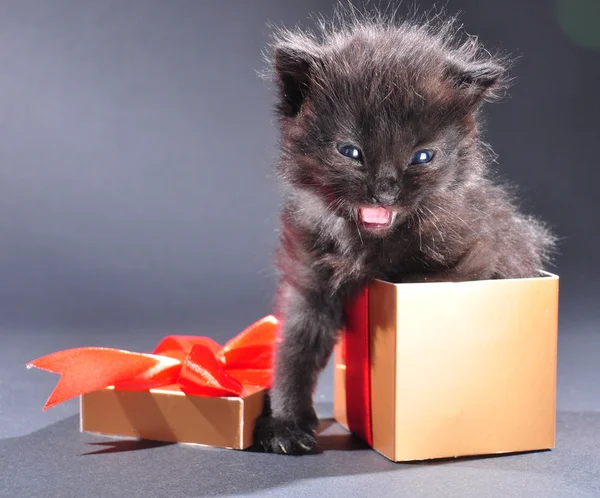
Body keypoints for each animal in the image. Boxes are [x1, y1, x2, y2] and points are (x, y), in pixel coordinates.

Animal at [251, 11, 556, 456]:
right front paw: (287, 424)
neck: (366, 244)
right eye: (351, 152)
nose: (385, 190)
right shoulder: (308, 281)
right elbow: (295, 350)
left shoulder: (468, 263)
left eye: (422, 157)